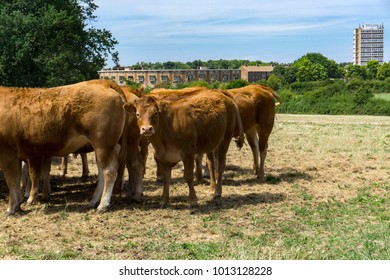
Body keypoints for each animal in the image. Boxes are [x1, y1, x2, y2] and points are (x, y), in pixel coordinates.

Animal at [0, 79, 127, 214]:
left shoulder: (7, 153)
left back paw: (102, 205)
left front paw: (11, 208)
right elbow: (17, 179)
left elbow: (12, 180)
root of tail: (103, 82)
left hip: (103, 145)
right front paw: (18, 203)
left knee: (109, 171)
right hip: (103, 147)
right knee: (102, 172)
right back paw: (93, 201)